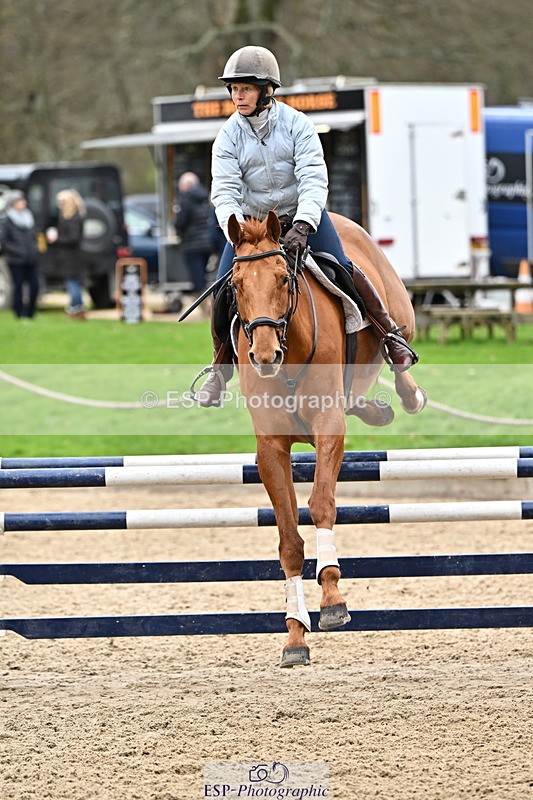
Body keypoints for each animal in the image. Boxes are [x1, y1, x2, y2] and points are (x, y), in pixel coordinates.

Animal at [226, 210, 426, 667]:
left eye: (283, 278)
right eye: (236, 284)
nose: (264, 355)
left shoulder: (328, 428)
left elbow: (320, 504)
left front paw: (333, 599)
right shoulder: (272, 448)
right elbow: (289, 541)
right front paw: (295, 636)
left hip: (398, 310)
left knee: (398, 349)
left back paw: (408, 392)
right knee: (360, 399)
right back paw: (377, 409)